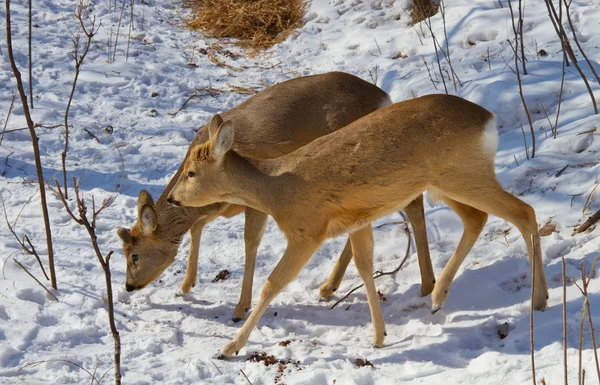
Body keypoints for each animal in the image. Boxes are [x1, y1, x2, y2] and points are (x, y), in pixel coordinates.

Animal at [116, 70, 436, 320]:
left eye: (134, 255)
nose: (129, 286)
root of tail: (384, 96)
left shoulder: (255, 201)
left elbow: (250, 243)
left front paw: (240, 307)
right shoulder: (217, 206)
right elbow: (197, 229)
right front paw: (185, 286)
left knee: (414, 203)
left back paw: (427, 284)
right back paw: (329, 286)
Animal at [168, 94, 548, 356]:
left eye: (191, 172)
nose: (172, 198)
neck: (276, 190)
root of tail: (489, 119)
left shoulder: (306, 231)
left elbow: (273, 284)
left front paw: (229, 347)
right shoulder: (356, 220)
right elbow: (365, 266)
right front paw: (379, 337)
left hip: (461, 174)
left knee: (523, 211)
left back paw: (539, 300)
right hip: (443, 182)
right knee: (478, 218)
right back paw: (439, 295)